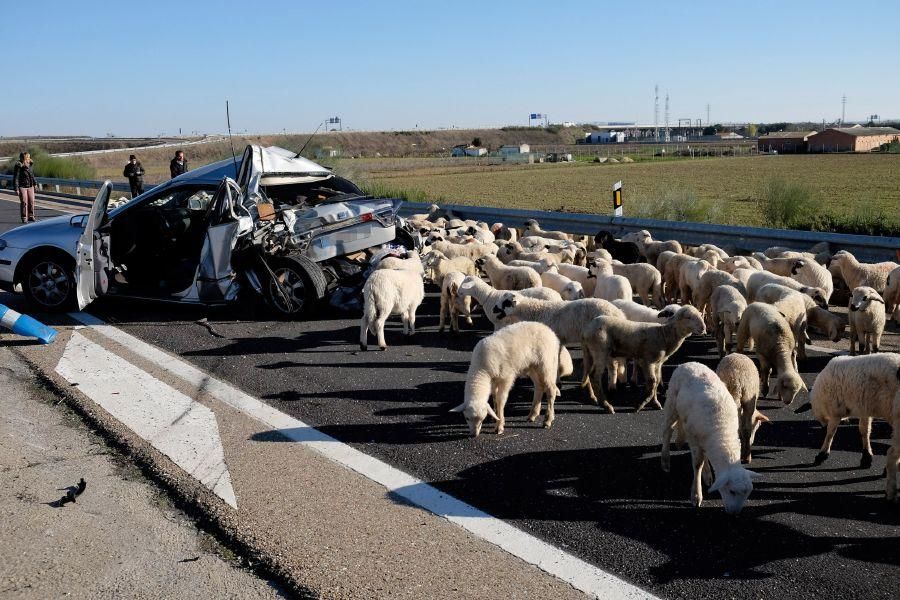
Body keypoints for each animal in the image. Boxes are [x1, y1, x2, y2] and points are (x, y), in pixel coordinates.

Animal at [660, 360, 760, 510]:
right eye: (732, 491)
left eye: (748, 494)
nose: (735, 513)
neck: (722, 432)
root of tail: (688, 363)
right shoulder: (694, 438)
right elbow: (697, 464)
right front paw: (696, 495)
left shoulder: (706, 438)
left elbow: (704, 457)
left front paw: (707, 475)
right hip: (672, 401)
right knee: (667, 430)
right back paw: (665, 461)